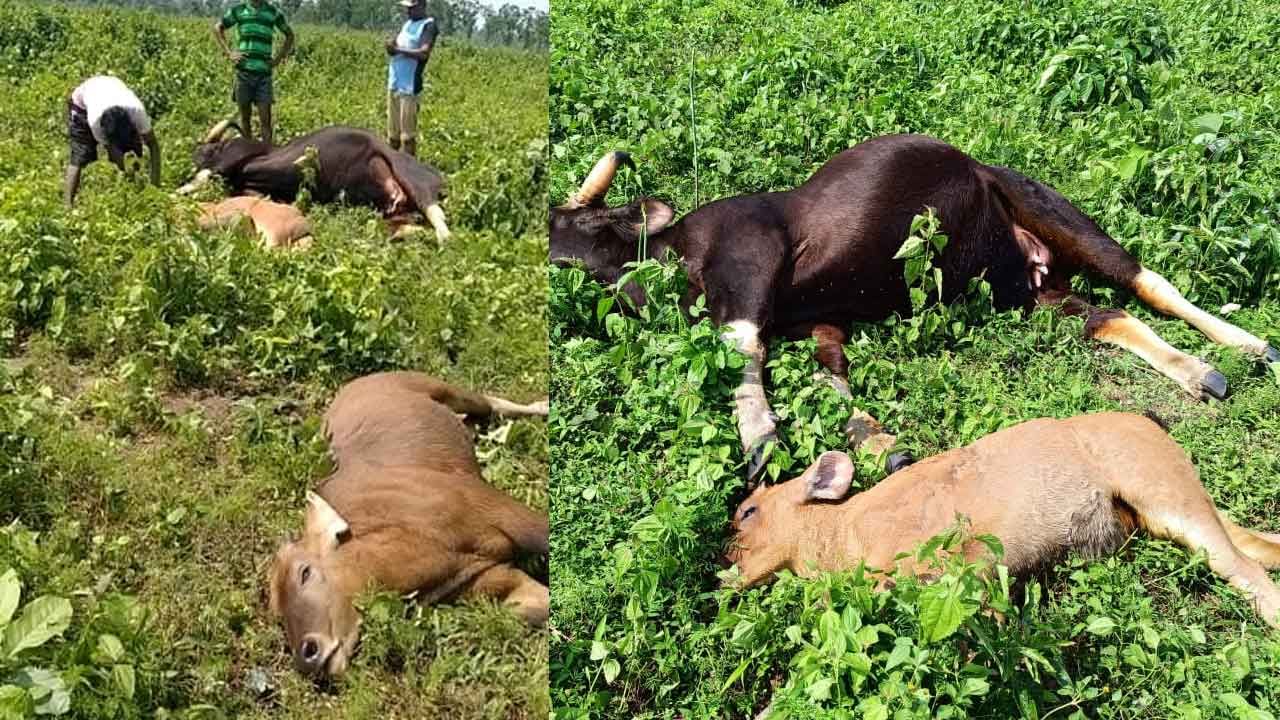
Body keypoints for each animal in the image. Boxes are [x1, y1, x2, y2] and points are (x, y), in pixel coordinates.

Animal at [267, 371, 547, 676]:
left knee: (493, 402)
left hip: (447, 389)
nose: (307, 654)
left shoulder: (501, 510)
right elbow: (537, 606)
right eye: (278, 612)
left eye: (305, 572)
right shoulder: (488, 579)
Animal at [727, 412, 1280, 625]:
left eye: (747, 512)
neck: (843, 539)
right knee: (1253, 540)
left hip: (1159, 485)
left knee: (1243, 566)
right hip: (1165, 505)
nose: (723, 568)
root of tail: (1153, 424)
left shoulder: (963, 560)